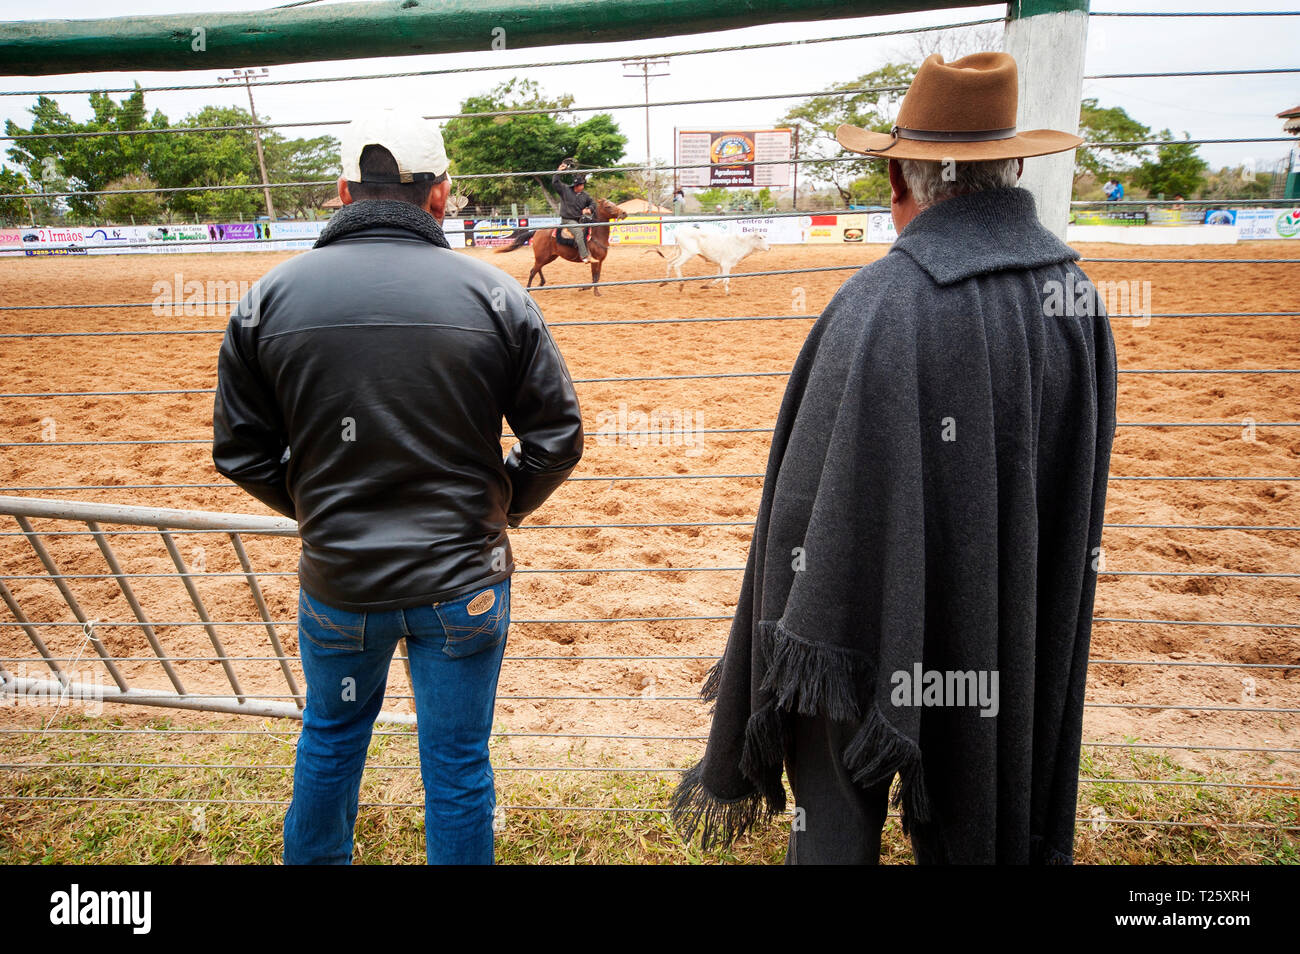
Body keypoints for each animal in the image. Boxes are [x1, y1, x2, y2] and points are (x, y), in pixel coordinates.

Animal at [493, 197, 626, 295]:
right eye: (608, 206)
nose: (624, 213)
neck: (596, 235)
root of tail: (537, 231)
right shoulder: (594, 261)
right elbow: (595, 278)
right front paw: (596, 292)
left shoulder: (600, 261)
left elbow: (597, 277)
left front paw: (584, 288)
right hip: (542, 256)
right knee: (532, 271)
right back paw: (529, 289)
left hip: (548, 257)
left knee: (536, 268)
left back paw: (541, 283)